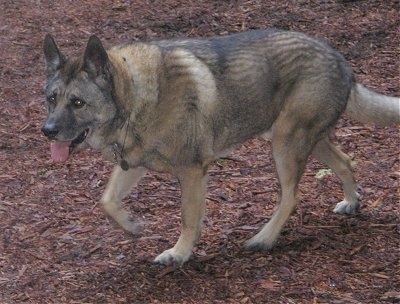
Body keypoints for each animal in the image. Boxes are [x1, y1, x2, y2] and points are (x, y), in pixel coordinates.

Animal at [41, 29, 400, 264]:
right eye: (51, 99)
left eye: (77, 102)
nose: (47, 131)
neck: (134, 95)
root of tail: (341, 61)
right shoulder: (134, 164)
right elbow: (107, 200)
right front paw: (131, 226)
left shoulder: (192, 172)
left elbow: (188, 218)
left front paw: (179, 253)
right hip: (300, 139)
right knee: (345, 162)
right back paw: (351, 202)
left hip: (286, 145)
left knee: (291, 196)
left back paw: (264, 238)